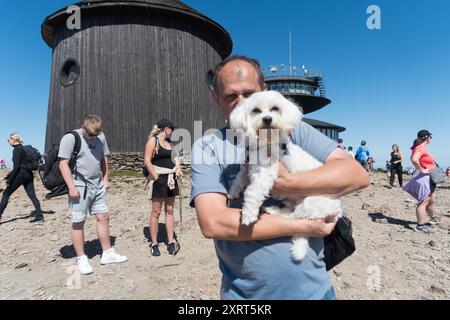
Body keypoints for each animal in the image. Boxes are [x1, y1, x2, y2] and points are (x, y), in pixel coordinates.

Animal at [230, 91, 342, 262]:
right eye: (256, 110)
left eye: (275, 108)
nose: (267, 119)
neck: (265, 143)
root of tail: (339, 209)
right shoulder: (247, 166)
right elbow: (239, 178)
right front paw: (233, 192)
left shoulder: (266, 173)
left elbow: (252, 192)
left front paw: (248, 214)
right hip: (295, 202)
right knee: (290, 212)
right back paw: (274, 210)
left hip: (310, 203)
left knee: (295, 219)